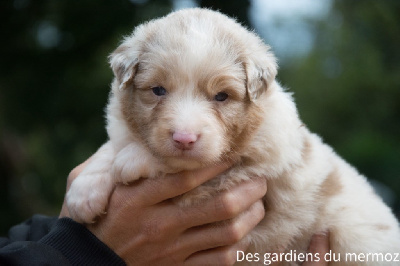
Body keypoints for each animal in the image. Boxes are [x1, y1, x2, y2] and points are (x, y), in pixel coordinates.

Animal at [68, 7, 400, 264]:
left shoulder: (246, 167)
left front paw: (131, 160)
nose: (184, 138)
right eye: (158, 90)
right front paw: (84, 192)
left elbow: (174, 162)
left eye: (221, 96)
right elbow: (112, 145)